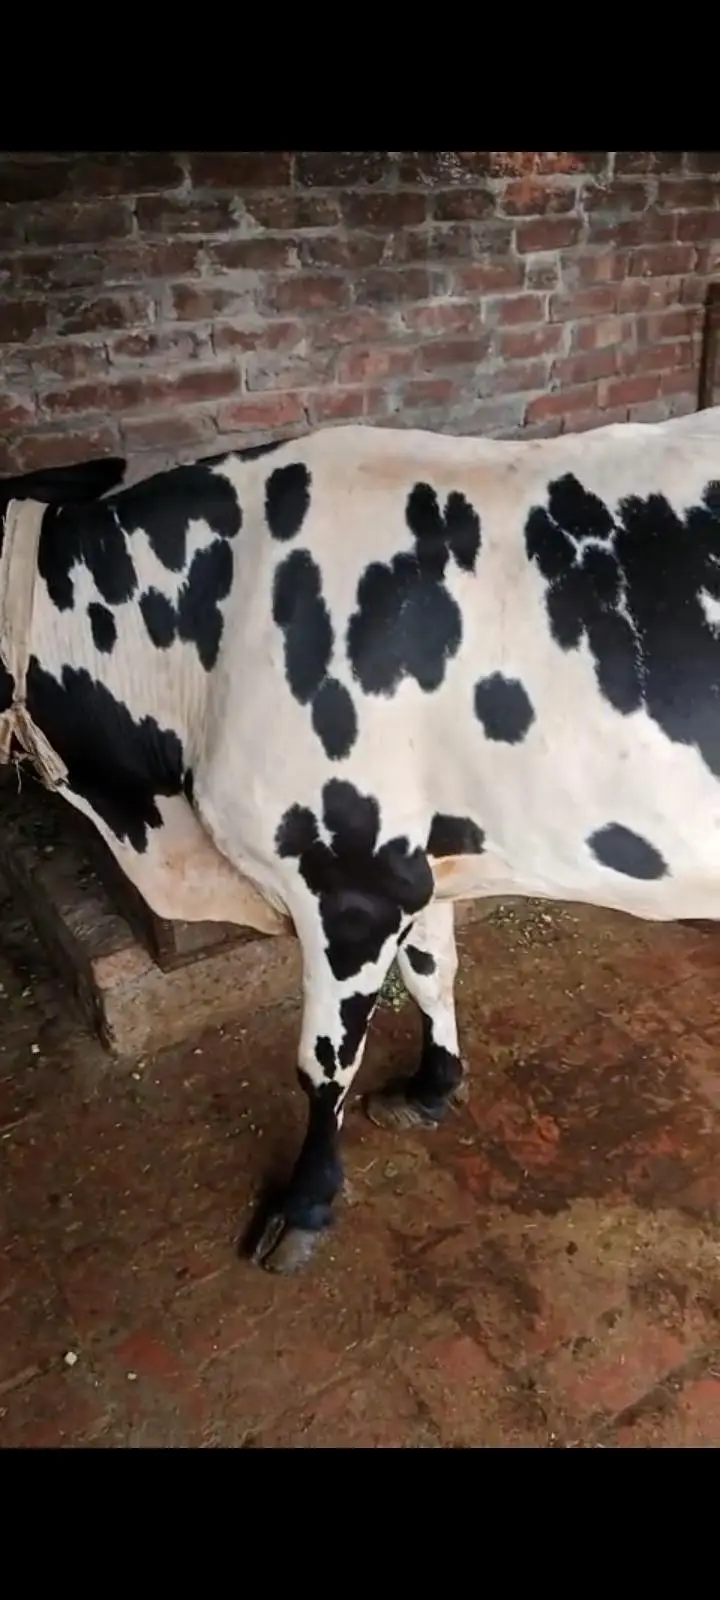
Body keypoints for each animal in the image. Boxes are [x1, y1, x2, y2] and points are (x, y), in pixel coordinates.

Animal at [2, 406, 720, 1276]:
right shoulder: (422, 864)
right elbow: (433, 973)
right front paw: (431, 1089)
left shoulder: (349, 885)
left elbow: (323, 1061)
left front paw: (305, 1205)